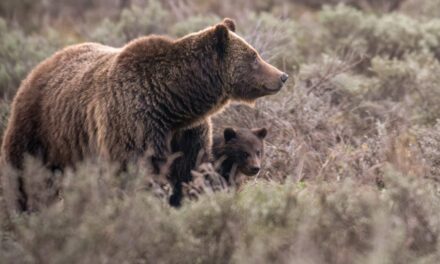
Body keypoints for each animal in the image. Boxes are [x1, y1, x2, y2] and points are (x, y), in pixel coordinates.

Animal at [1, 18, 288, 211]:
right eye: (254, 56)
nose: (282, 76)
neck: (174, 103)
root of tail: (41, 66)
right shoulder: (135, 123)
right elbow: (137, 170)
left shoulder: (188, 133)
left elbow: (187, 172)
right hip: (40, 128)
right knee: (26, 175)